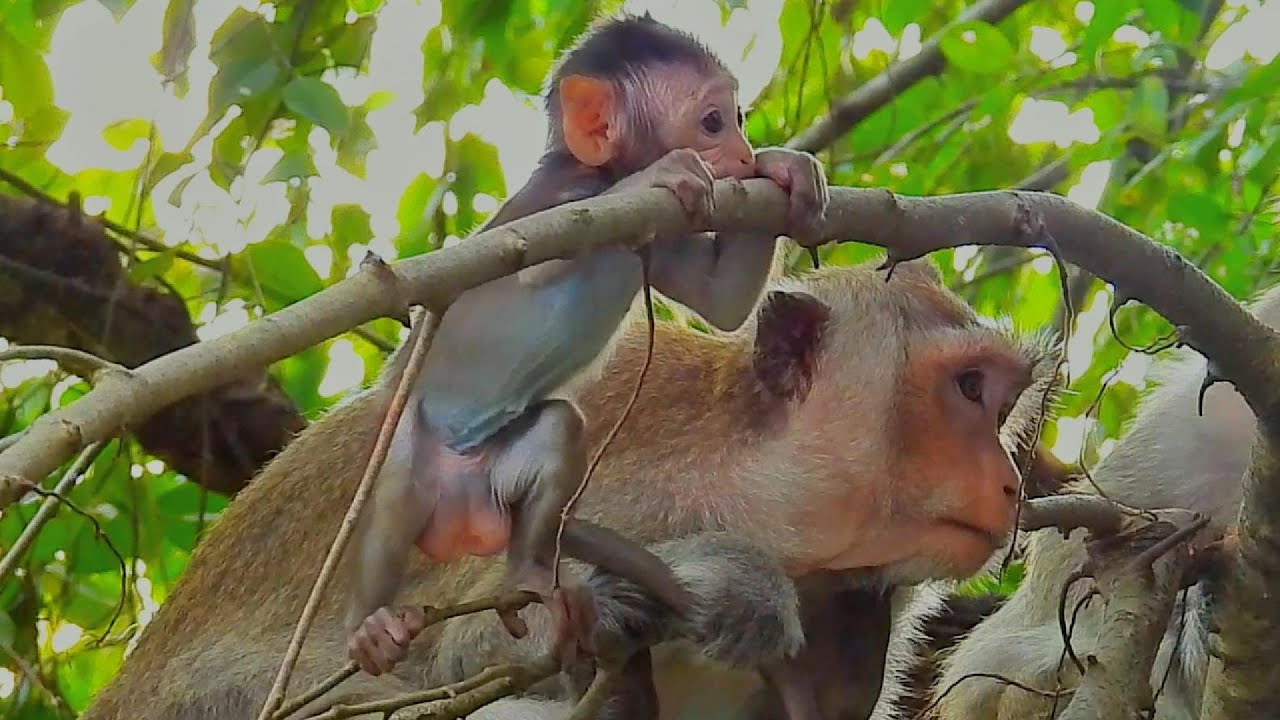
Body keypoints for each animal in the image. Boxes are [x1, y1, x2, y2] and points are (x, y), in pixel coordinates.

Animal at [80, 259, 1053, 720]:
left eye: (1001, 403)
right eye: (967, 389)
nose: (1008, 484)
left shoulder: (867, 607)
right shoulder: (591, 457)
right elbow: (457, 645)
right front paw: (719, 584)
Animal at [347, 12, 830, 677]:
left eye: (740, 119)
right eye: (712, 122)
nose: (741, 154)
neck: (601, 174)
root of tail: (461, 514)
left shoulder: (664, 234)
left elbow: (722, 302)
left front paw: (786, 168)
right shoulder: (568, 198)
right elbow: (527, 263)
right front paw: (662, 170)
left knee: (557, 429)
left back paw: (530, 573)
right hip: (408, 446)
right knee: (394, 492)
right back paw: (370, 623)